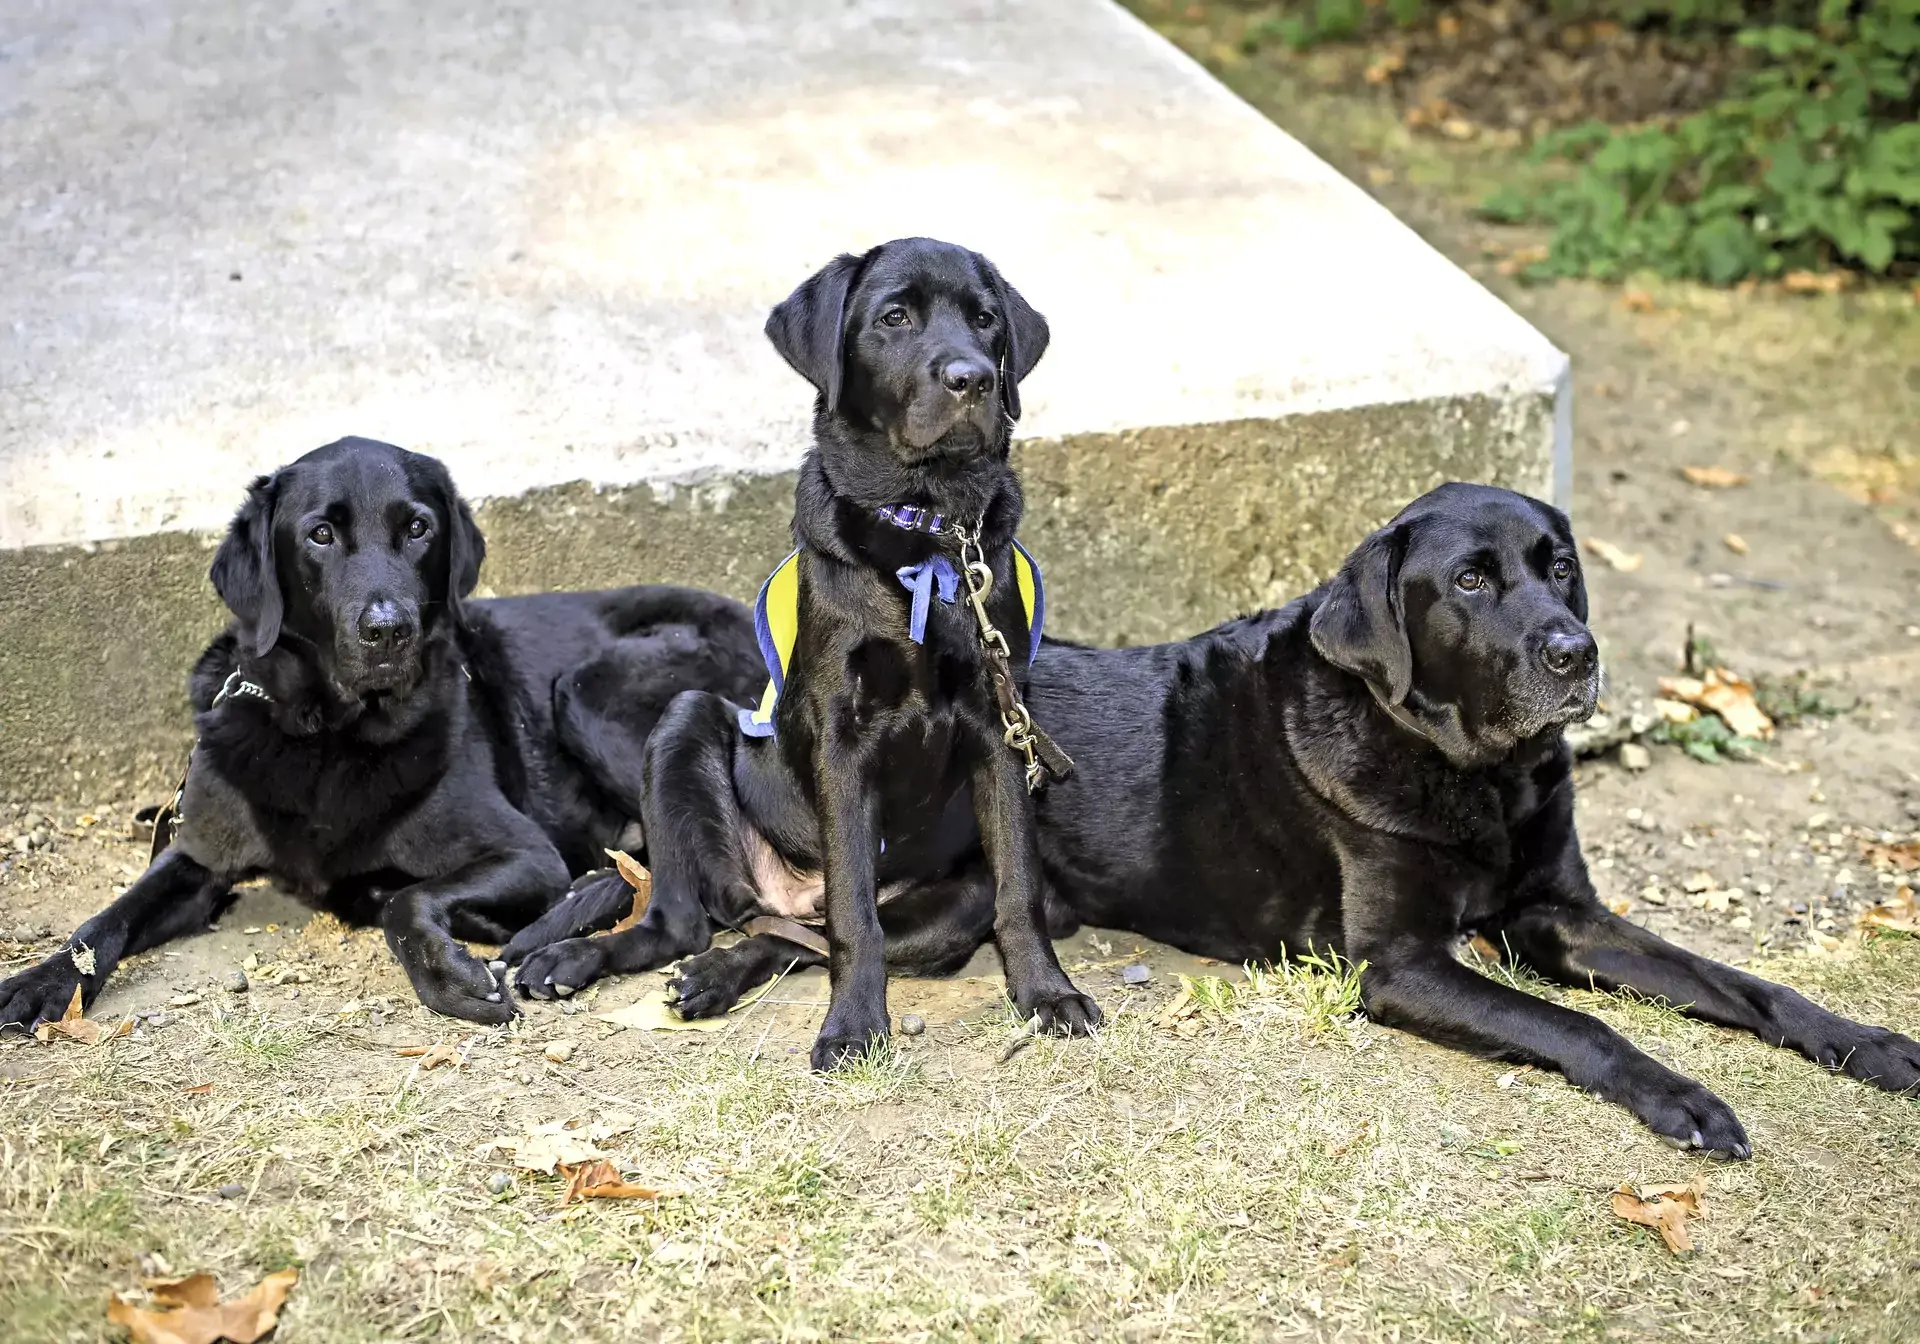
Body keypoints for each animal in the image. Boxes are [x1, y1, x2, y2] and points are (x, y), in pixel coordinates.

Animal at [0, 441, 764, 1029]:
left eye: (419, 528)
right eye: (320, 534)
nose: (388, 630)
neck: (328, 734)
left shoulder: (525, 853)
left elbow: (405, 899)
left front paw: (448, 975)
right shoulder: (197, 858)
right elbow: (104, 921)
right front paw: (40, 981)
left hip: (589, 690)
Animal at [503, 236, 1105, 1067]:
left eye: (986, 320)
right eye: (894, 317)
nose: (972, 379)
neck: (926, 529)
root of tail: (787, 889)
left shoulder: (999, 728)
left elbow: (1018, 888)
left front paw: (1047, 995)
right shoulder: (841, 737)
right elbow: (855, 912)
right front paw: (852, 1027)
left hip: (952, 902)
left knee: (789, 937)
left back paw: (715, 975)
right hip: (684, 722)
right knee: (689, 922)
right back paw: (579, 958)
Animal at [652, 485, 1912, 1152]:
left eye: (1560, 567)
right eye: (1470, 582)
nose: (1575, 652)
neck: (1473, 771)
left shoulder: (1562, 915)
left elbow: (1742, 984)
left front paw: (1869, 1042)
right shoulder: (1400, 964)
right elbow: (1583, 1029)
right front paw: (1684, 1097)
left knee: (805, 928)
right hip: (952, 906)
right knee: (816, 927)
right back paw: (709, 975)